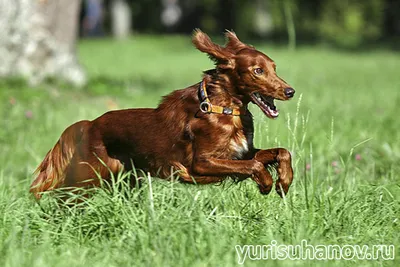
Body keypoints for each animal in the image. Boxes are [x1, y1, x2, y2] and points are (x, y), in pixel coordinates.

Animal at [30, 30, 294, 200]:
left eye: (274, 68)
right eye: (257, 71)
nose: (290, 91)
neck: (225, 109)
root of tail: (89, 124)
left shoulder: (241, 153)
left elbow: (279, 153)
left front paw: (284, 181)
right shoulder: (201, 164)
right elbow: (254, 165)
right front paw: (266, 183)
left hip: (123, 180)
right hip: (87, 179)